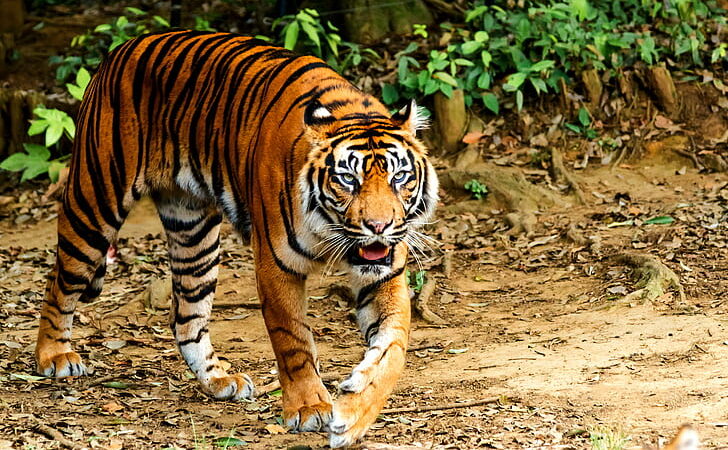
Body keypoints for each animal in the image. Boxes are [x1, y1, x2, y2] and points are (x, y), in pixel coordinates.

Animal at [34, 29, 438, 448]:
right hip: (94, 202)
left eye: (399, 177)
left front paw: (354, 414)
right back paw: (54, 356)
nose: (378, 226)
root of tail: (124, 47)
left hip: (193, 233)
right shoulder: (276, 264)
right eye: (347, 179)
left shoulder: (384, 274)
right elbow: (293, 340)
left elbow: (393, 347)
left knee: (186, 318)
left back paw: (218, 380)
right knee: (58, 280)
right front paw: (309, 408)